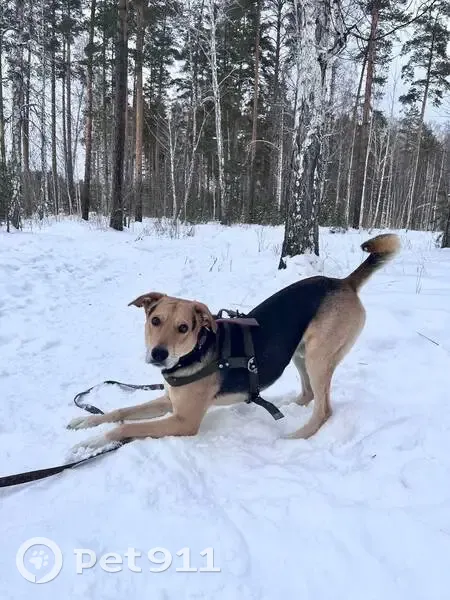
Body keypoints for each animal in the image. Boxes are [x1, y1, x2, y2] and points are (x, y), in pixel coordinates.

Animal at [68, 233, 400, 449]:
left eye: (184, 327)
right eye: (155, 321)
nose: (158, 354)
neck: (196, 352)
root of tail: (345, 283)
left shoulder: (183, 421)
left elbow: (126, 427)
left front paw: (89, 443)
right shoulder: (168, 401)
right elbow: (120, 413)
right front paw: (84, 423)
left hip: (319, 356)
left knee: (324, 409)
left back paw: (295, 438)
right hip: (300, 353)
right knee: (308, 394)